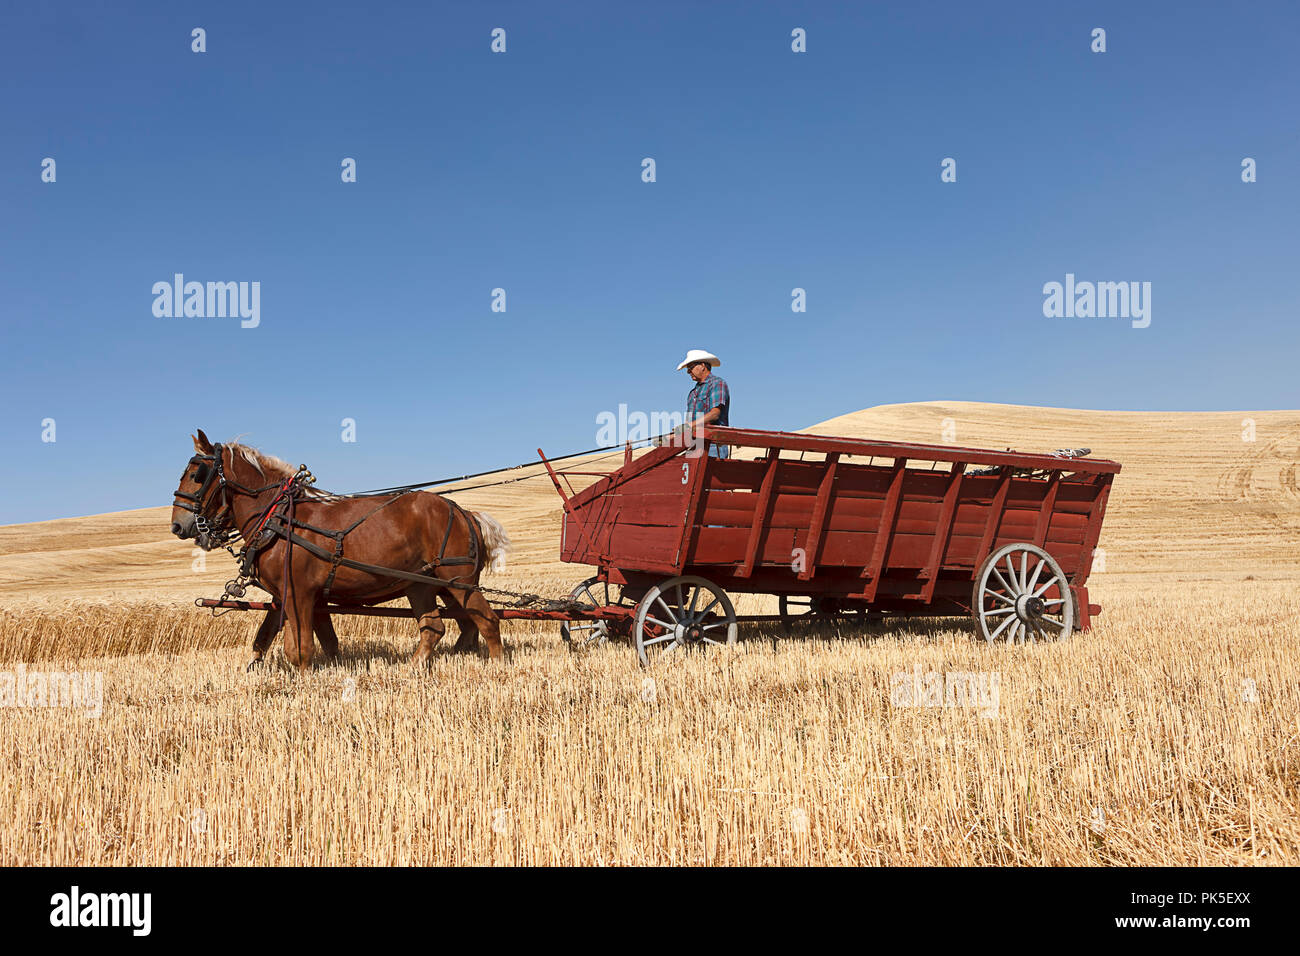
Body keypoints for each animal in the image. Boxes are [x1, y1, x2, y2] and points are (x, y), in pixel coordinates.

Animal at [171, 429, 512, 671]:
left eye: (197, 474)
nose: (177, 525)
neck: (280, 516)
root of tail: (465, 512)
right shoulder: (297, 596)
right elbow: (310, 639)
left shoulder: (298, 593)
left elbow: (300, 648)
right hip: (422, 585)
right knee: (436, 627)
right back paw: (414, 668)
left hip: (458, 581)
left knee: (486, 621)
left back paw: (497, 669)